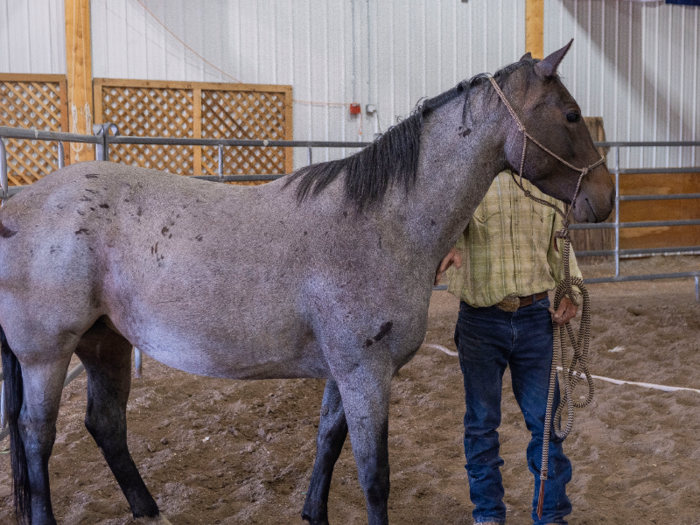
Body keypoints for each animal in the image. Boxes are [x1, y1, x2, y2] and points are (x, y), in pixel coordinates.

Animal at [0, 42, 612, 524]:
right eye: (572, 114)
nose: (603, 198)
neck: (381, 222)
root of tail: (19, 204)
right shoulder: (366, 373)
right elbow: (373, 476)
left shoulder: (345, 372)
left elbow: (327, 442)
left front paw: (313, 511)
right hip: (46, 357)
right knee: (35, 437)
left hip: (105, 342)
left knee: (104, 425)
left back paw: (150, 510)